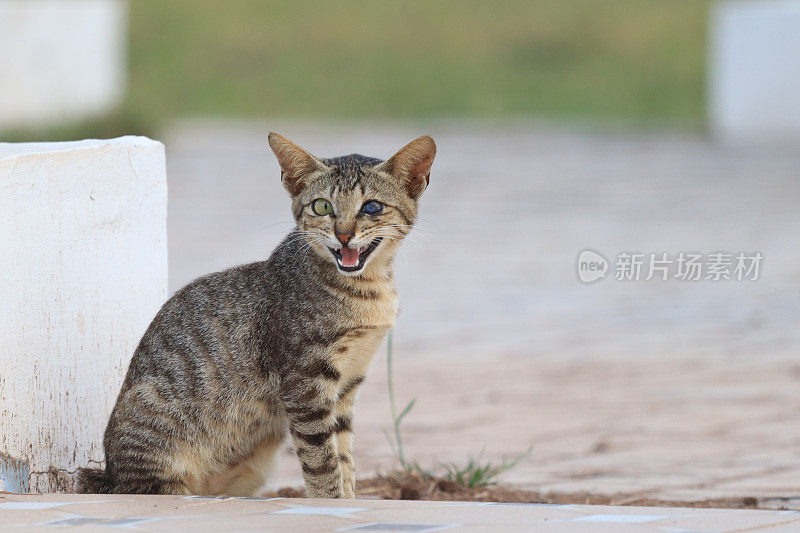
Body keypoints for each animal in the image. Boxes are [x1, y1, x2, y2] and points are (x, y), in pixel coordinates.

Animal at [74, 133, 434, 498]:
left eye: (372, 207)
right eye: (322, 206)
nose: (344, 234)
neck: (367, 290)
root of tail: (112, 476)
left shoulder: (348, 382)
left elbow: (344, 457)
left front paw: (347, 499)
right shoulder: (305, 381)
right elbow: (322, 460)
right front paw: (329, 500)